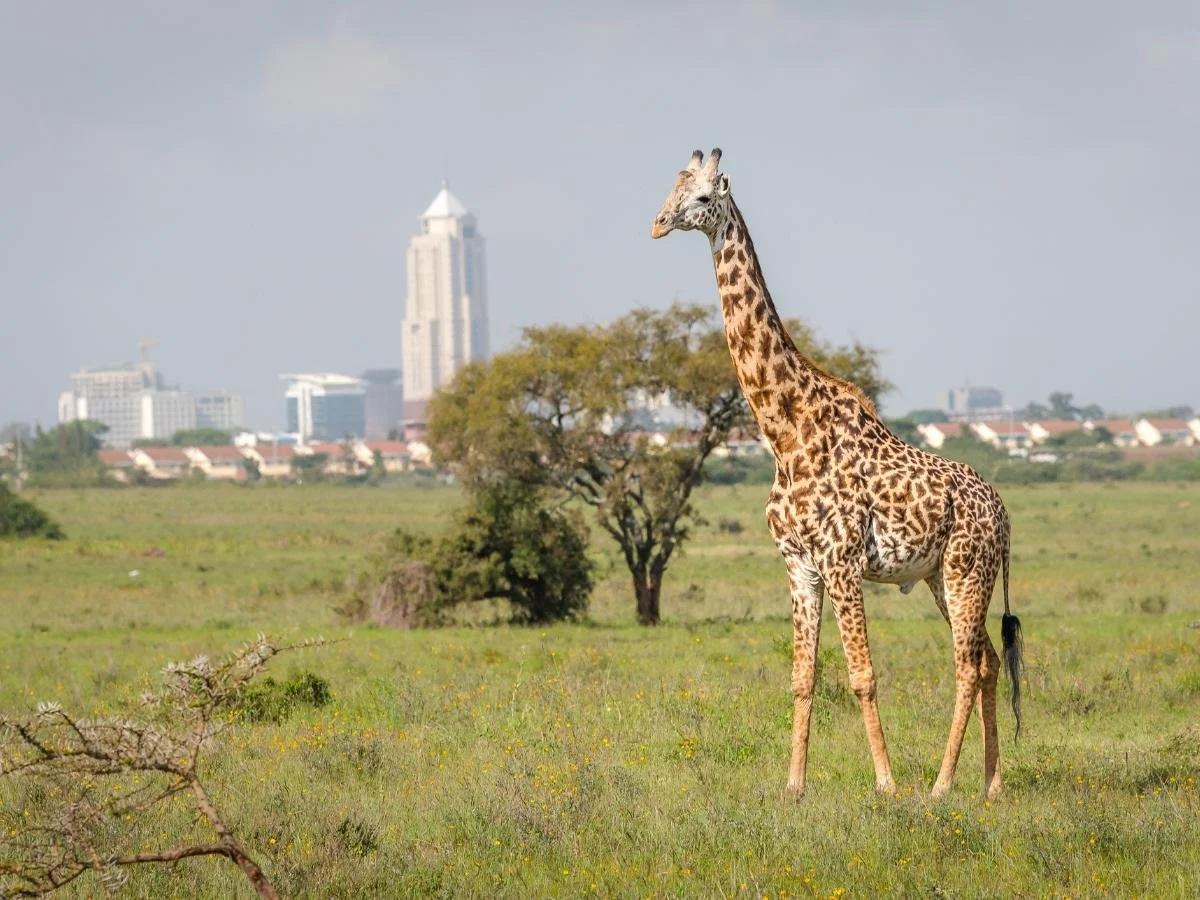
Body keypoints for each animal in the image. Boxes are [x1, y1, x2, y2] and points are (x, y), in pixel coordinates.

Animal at [651, 149, 1024, 799]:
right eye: (672, 189)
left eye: (702, 197)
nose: (657, 224)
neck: (786, 432)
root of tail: (1002, 515)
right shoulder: (799, 564)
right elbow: (803, 677)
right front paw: (794, 786)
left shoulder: (842, 560)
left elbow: (862, 675)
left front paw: (886, 783)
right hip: (940, 576)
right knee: (988, 662)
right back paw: (991, 784)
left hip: (966, 570)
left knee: (966, 665)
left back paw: (941, 785)